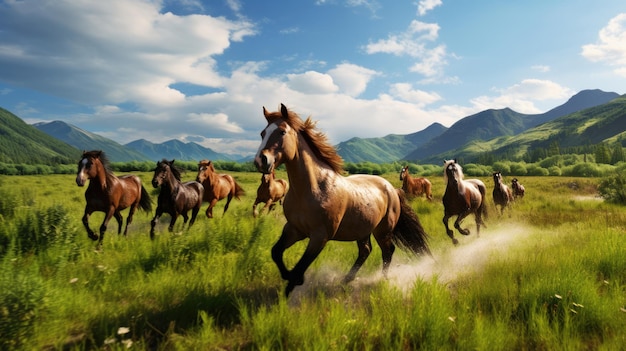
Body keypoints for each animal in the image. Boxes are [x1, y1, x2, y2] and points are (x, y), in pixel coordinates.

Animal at [254, 104, 428, 296]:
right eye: (262, 133)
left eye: (282, 132)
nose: (260, 161)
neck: (312, 189)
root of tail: (392, 189)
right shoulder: (294, 229)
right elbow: (276, 252)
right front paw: (288, 277)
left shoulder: (319, 237)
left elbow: (300, 267)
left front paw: (290, 289)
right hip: (364, 230)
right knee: (366, 251)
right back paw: (346, 280)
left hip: (383, 231)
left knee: (387, 252)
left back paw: (381, 280)